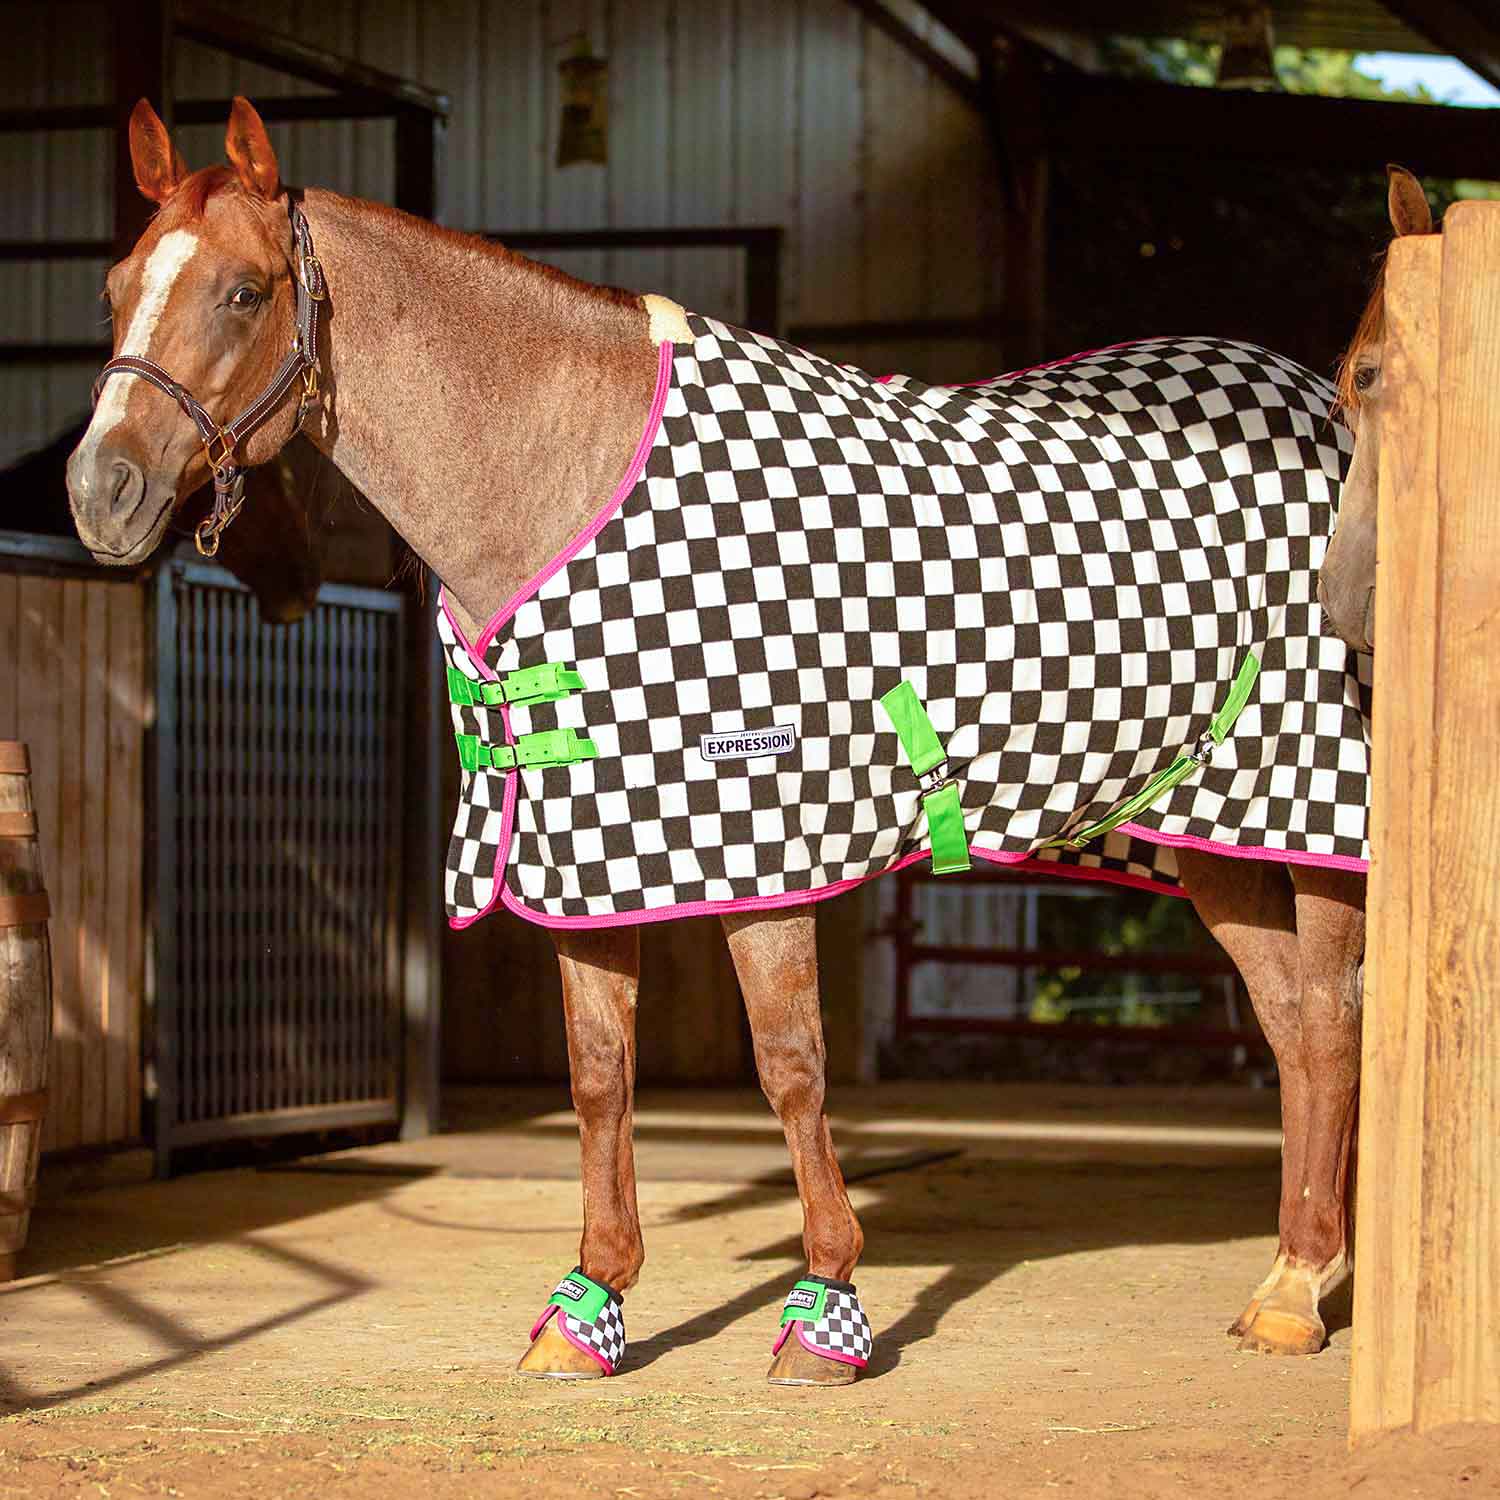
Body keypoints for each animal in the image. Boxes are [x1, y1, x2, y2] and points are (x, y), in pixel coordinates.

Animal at [66, 95, 1368, 1386]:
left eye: (243, 291)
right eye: (117, 286)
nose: (100, 492)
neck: (570, 480)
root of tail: (1325, 401)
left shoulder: (763, 847)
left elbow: (790, 1064)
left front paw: (827, 1311)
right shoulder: (584, 860)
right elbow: (600, 1077)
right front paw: (587, 1308)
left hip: (1326, 810)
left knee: (1334, 1018)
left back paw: (1299, 1291)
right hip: (1207, 827)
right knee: (1296, 1031)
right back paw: (1297, 1275)